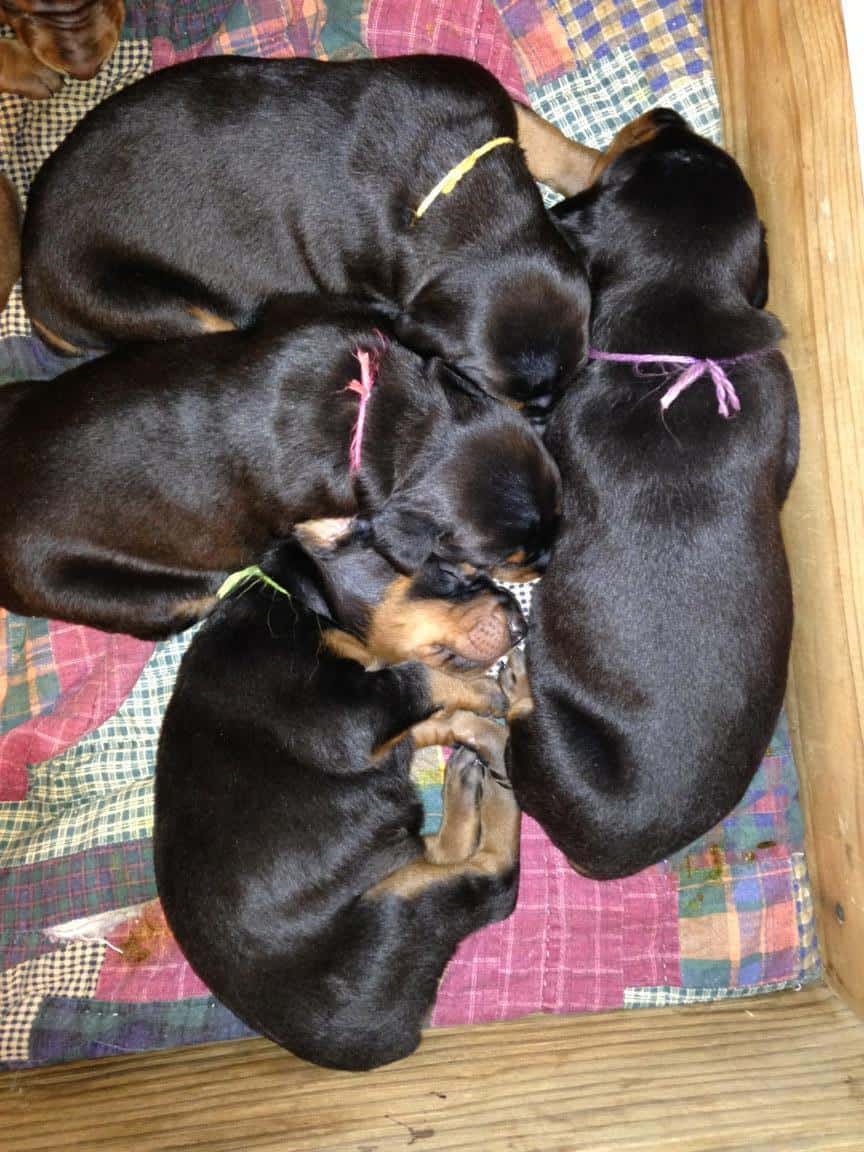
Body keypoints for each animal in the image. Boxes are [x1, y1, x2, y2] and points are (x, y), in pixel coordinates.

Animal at [20, 52, 594, 419]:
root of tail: (31, 288)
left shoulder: (489, 104)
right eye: (480, 385)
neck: (446, 194)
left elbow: (550, 142)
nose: (543, 421)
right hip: (148, 305)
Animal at [158, 534, 532, 1073]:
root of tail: (387, 1036)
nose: (523, 624)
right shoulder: (344, 713)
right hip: (394, 909)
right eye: (450, 571)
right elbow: (418, 678)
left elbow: (429, 717)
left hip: (395, 870)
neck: (301, 602)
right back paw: (508, 747)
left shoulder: (375, 728)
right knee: (495, 879)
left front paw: (483, 728)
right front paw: (485, 693)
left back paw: (474, 770)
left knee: (445, 851)